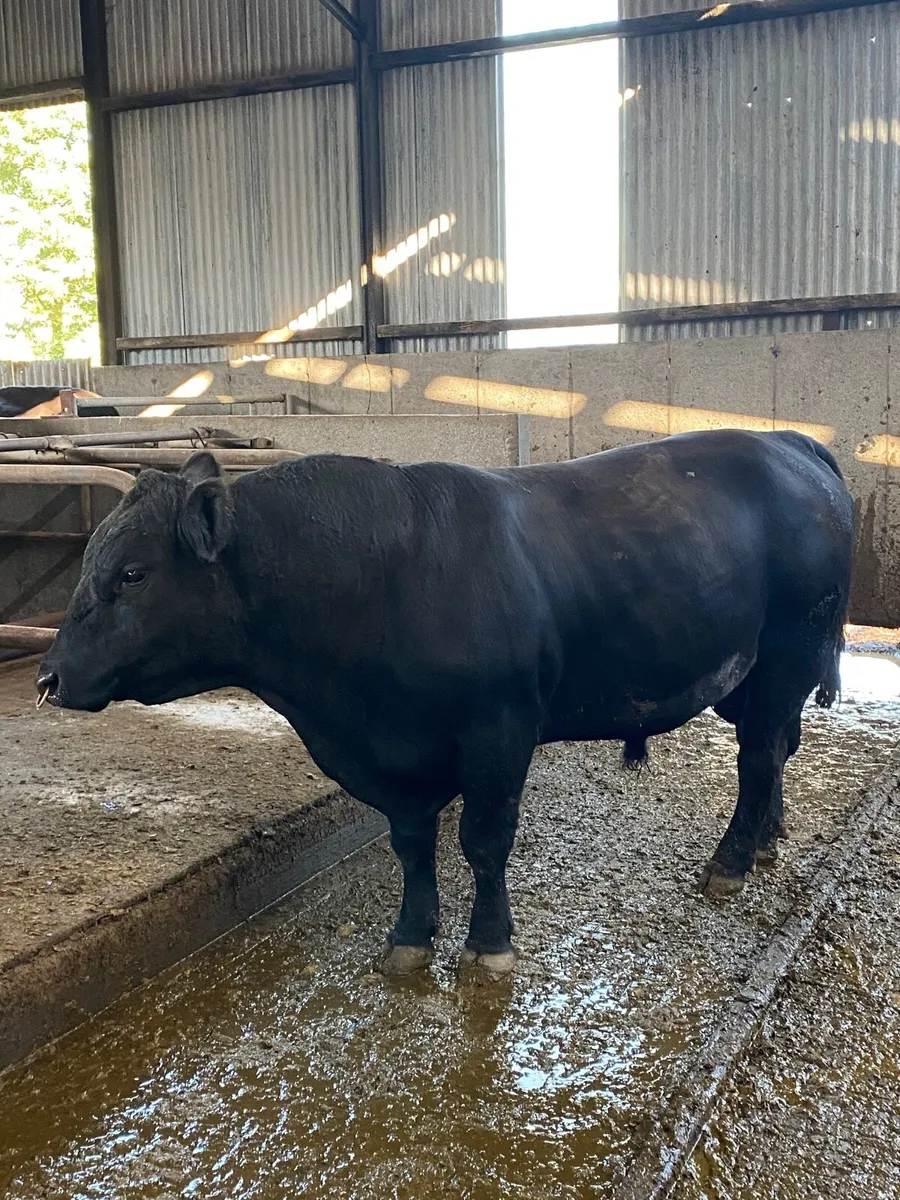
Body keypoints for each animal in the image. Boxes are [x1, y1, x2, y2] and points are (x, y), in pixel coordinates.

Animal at [35, 429, 853, 978]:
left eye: (133, 573)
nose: (48, 677)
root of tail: (786, 441)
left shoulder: (498, 731)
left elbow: (483, 843)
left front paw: (488, 946)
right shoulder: (396, 756)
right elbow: (411, 844)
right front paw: (408, 939)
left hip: (787, 655)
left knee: (758, 759)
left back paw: (732, 861)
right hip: (752, 677)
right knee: (775, 748)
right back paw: (770, 837)